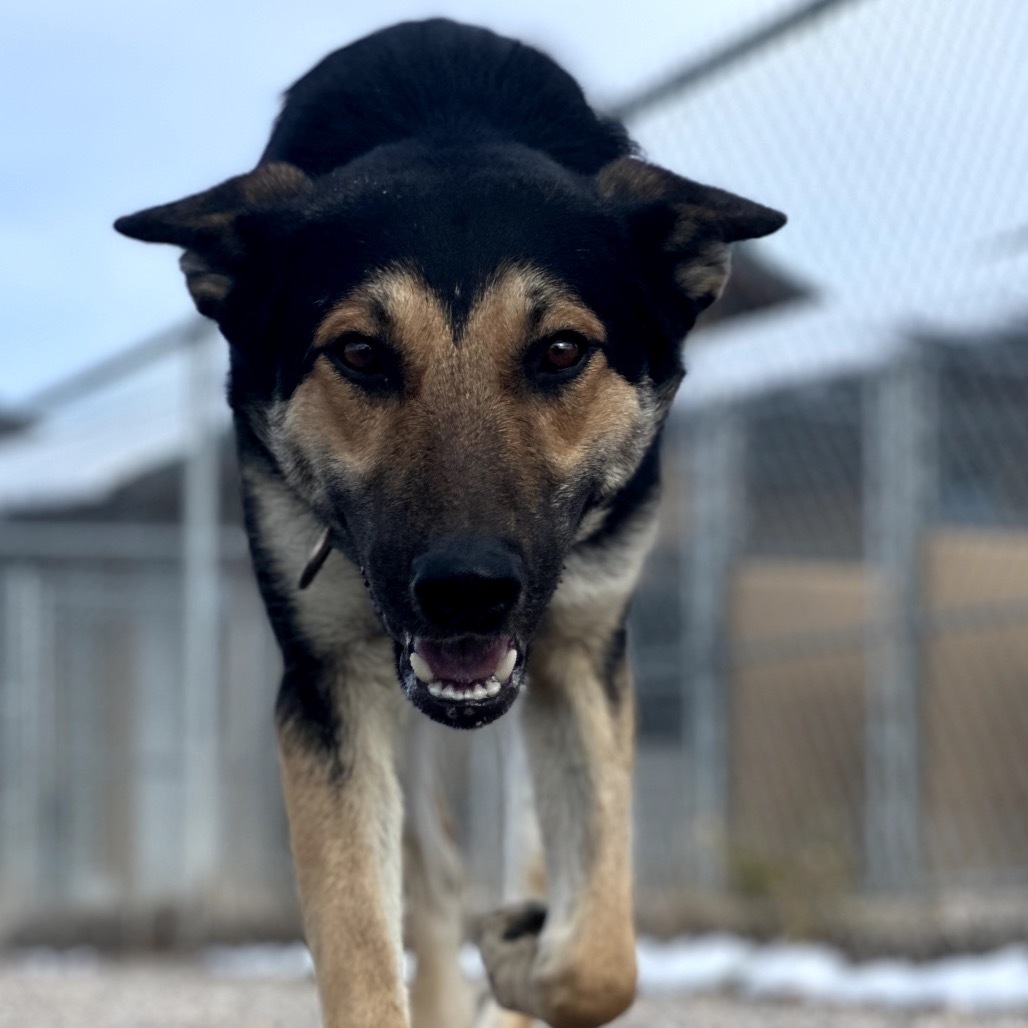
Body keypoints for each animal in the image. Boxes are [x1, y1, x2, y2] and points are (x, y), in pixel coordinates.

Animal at [114, 18, 785, 1028]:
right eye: (360, 353)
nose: (467, 592)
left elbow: (601, 955)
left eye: (561, 351)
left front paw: (522, 957)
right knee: (428, 882)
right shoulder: (330, 683)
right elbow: (364, 945)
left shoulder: (580, 651)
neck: (449, 118)